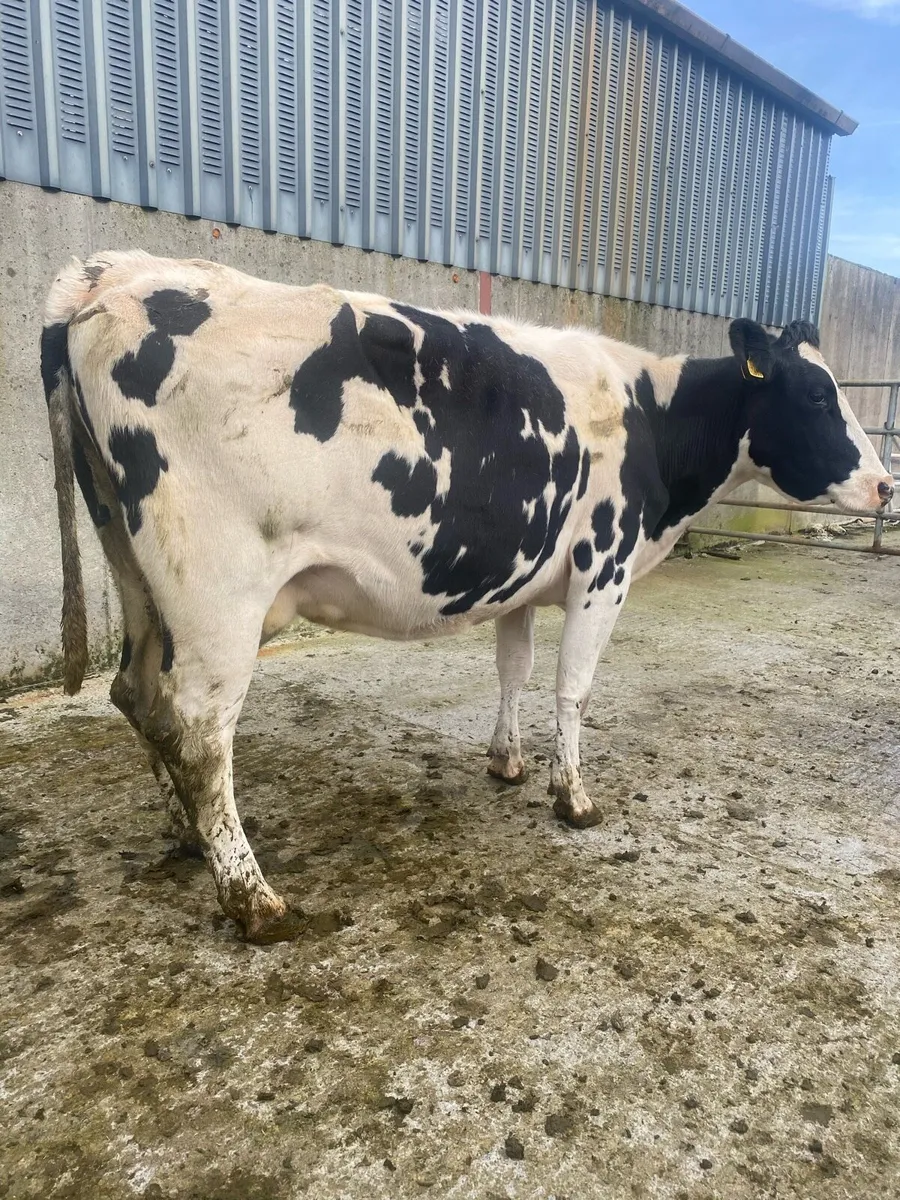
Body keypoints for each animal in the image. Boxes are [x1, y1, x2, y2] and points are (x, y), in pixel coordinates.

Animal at [41, 250, 892, 942]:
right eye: (817, 397)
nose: (887, 485)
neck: (651, 417)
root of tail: (109, 275)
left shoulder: (523, 575)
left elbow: (514, 669)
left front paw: (506, 761)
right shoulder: (603, 565)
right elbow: (573, 687)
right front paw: (573, 797)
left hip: (132, 566)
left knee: (138, 694)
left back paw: (187, 833)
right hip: (218, 588)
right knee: (199, 727)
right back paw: (252, 898)